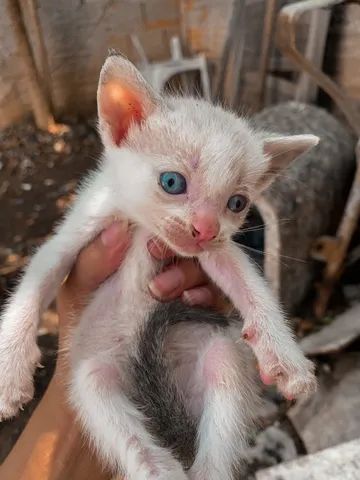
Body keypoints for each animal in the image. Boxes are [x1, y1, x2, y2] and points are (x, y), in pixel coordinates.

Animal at [0, 52, 318, 480]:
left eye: (237, 203)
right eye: (172, 182)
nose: (205, 228)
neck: (144, 228)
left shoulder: (216, 250)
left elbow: (251, 286)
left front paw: (286, 357)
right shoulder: (79, 228)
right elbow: (35, 282)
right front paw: (10, 370)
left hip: (219, 357)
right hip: (96, 378)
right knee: (129, 430)